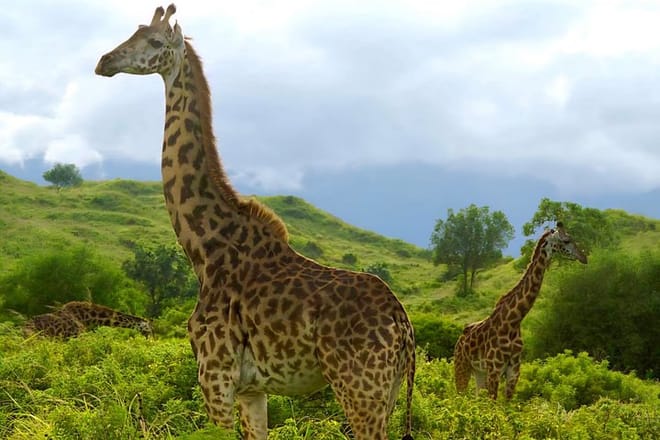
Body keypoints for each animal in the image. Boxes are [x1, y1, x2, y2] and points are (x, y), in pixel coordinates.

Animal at [95, 5, 415, 440]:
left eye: (155, 42)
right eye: (132, 33)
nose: (104, 61)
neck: (204, 249)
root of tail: (404, 325)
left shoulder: (215, 375)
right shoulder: (251, 389)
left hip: (360, 387)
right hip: (388, 390)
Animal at [453, 222, 587, 400]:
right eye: (566, 240)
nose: (584, 257)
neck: (515, 320)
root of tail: (459, 340)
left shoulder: (513, 371)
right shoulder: (494, 370)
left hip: (479, 372)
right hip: (462, 366)